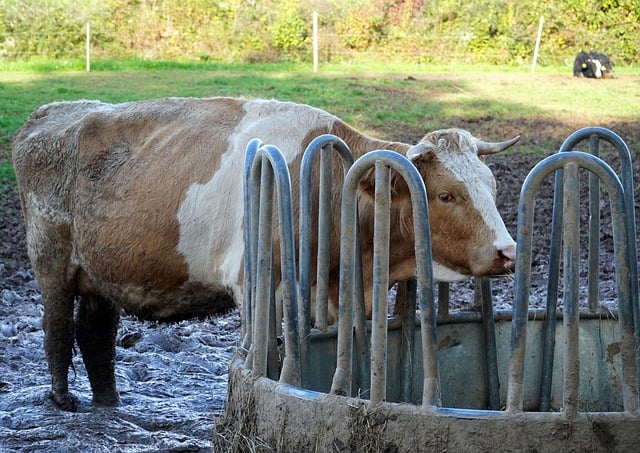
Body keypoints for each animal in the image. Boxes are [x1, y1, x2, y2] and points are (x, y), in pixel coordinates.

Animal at [12, 97, 518, 411]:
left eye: (492, 186)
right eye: (447, 195)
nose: (507, 252)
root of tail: (51, 113)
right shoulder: (257, 285)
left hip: (102, 275)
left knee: (95, 336)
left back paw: (109, 403)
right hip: (51, 259)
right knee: (57, 330)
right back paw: (63, 401)